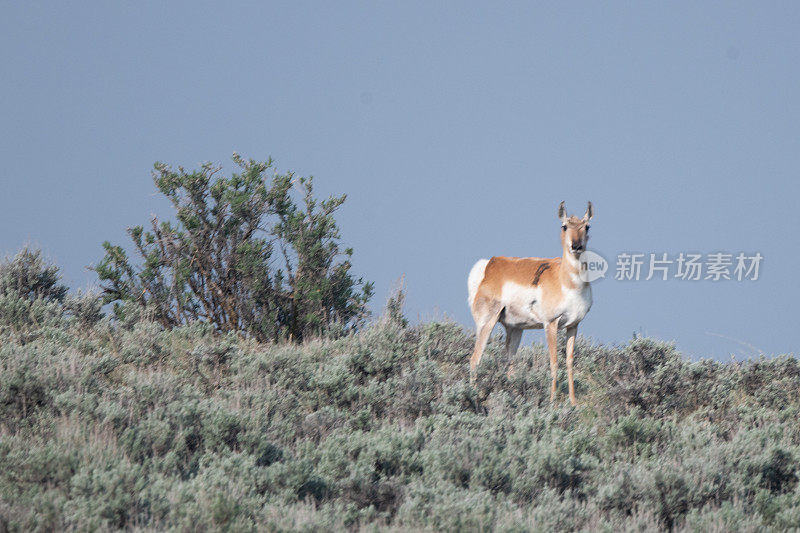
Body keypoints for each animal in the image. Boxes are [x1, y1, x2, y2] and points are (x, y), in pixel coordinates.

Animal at [468, 200, 592, 404]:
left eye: (587, 226)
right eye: (564, 226)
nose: (576, 246)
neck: (566, 280)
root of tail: (491, 264)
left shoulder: (573, 325)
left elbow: (570, 361)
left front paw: (573, 402)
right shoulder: (551, 324)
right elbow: (554, 361)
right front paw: (553, 403)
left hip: (515, 329)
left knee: (508, 363)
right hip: (487, 323)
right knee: (475, 359)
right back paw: (473, 396)